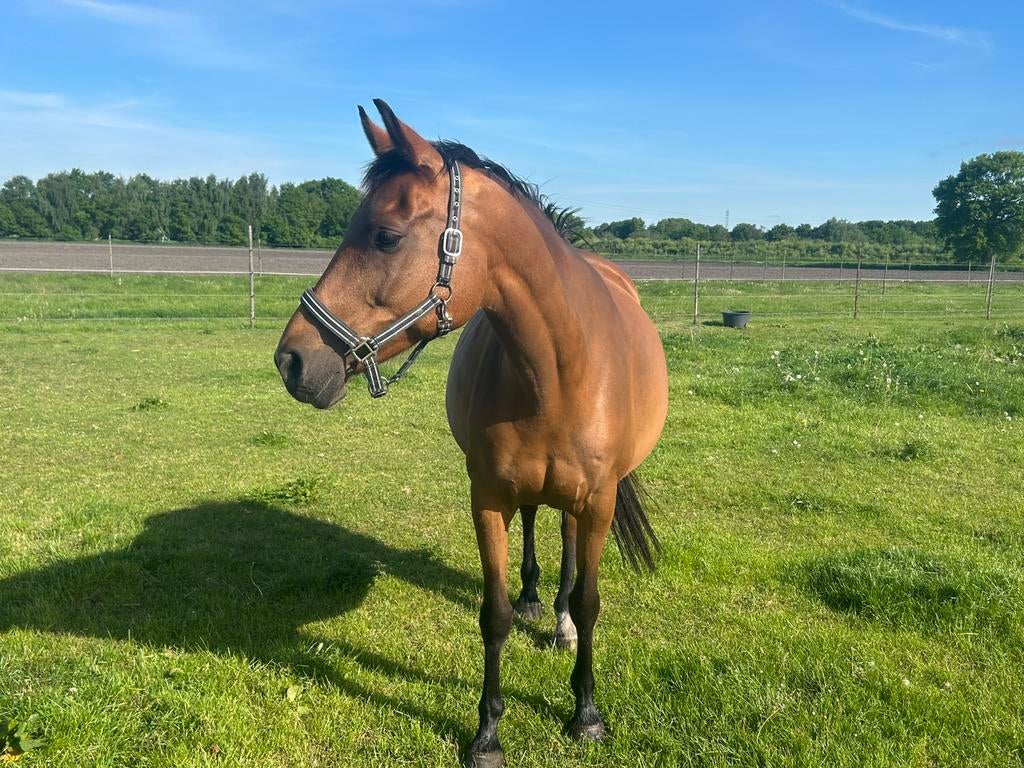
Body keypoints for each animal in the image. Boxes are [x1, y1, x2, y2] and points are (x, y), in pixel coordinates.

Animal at [275, 99, 668, 767]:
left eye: (385, 235)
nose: (293, 361)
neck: (561, 367)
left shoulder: (598, 500)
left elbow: (591, 604)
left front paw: (586, 713)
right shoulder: (487, 497)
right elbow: (495, 613)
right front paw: (487, 733)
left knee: (565, 546)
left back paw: (558, 621)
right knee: (535, 522)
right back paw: (538, 600)